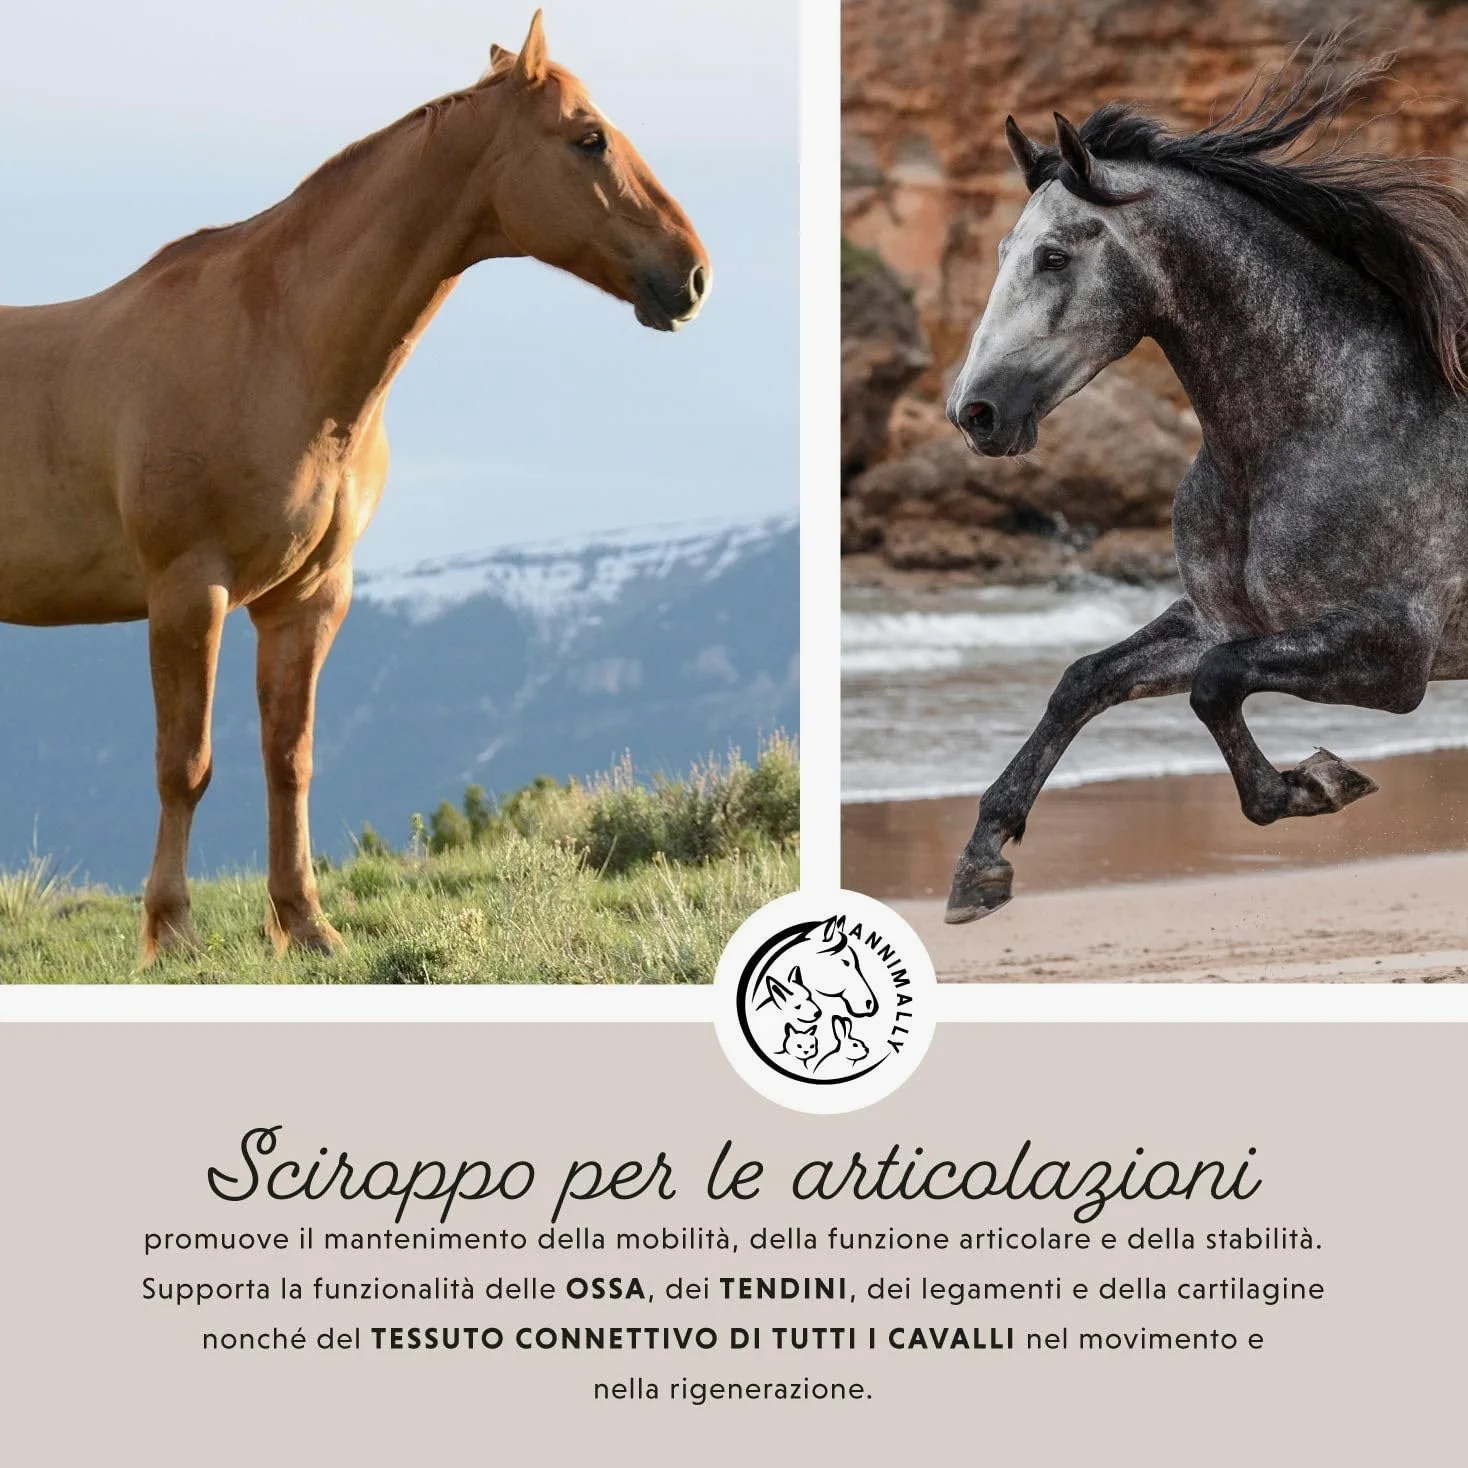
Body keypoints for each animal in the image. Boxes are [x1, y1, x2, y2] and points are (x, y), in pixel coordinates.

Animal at [0, 11, 708, 961]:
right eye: (588, 137)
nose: (692, 274)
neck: (277, 347)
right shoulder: (189, 592)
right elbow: (184, 764)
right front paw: (173, 933)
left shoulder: (307, 597)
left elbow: (288, 759)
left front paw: (304, 925)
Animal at [942, 41, 1468, 924]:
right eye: (1005, 252)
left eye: (1054, 256)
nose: (973, 412)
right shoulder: (1223, 621)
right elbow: (1085, 680)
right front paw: (981, 861)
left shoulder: (1393, 654)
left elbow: (1217, 687)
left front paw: (1318, 783)